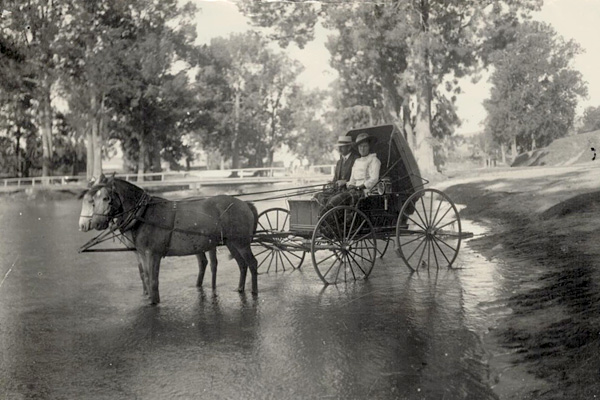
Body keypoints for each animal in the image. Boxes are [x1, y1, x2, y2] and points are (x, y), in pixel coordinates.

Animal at [77, 173, 258, 304]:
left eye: (106, 198)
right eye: (93, 200)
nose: (95, 223)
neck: (143, 214)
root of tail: (245, 204)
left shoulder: (153, 254)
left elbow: (153, 281)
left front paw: (154, 302)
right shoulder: (142, 253)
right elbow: (146, 276)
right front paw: (149, 298)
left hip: (241, 243)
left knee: (252, 263)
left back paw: (254, 291)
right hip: (231, 243)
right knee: (241, 265)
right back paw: (240, 289)